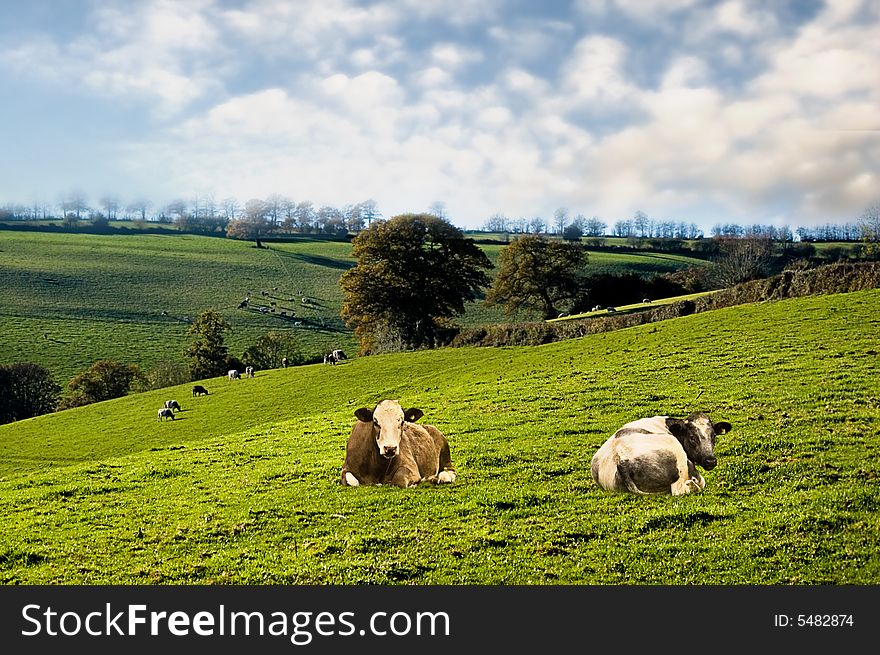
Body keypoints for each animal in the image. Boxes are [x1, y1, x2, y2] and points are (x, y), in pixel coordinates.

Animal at [592, 416, 736, 498]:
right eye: (692, 437)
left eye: (714, 436)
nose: (710, 460)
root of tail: (621, 459)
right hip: (676, 451)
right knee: (680, 489)